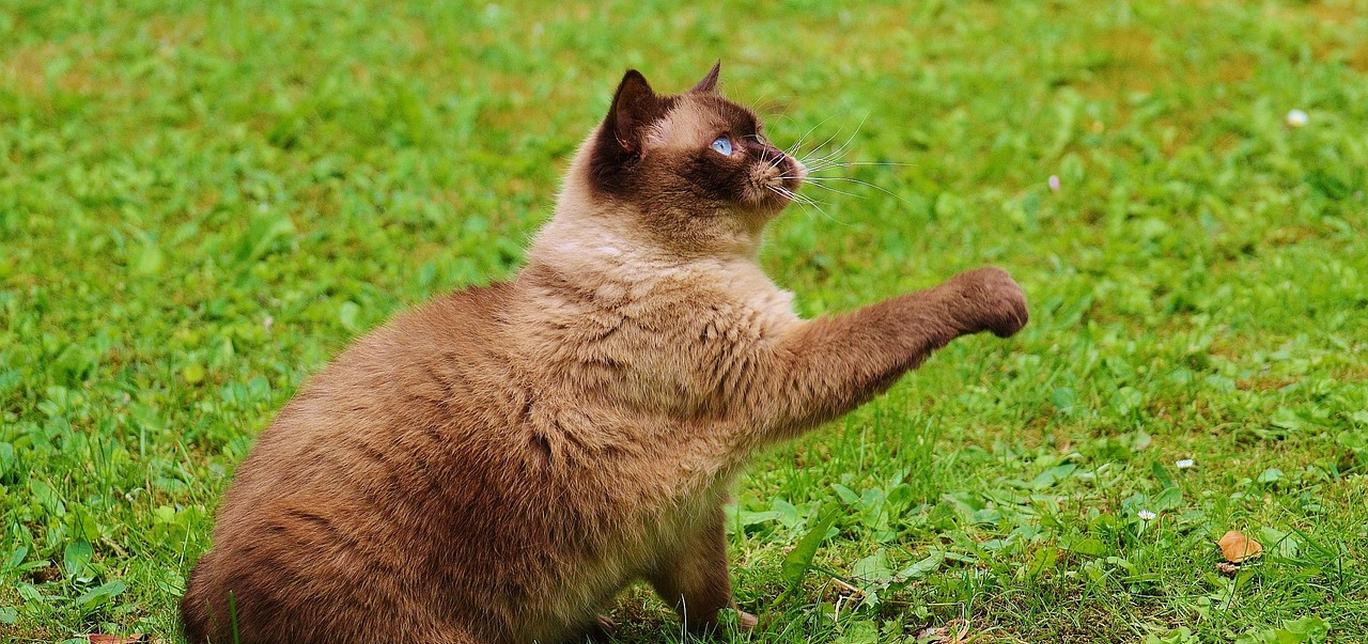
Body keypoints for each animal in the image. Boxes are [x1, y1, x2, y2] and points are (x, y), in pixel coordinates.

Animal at [187, 64, 1028, 644]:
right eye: (726, 146)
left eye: (758, 134)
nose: (783, 159)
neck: (670, 262)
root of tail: (198, 604)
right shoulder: (775, 369)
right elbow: (898, 317)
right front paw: (998, 293)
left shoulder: (688, 519)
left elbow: (710, 607)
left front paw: (753, 632)